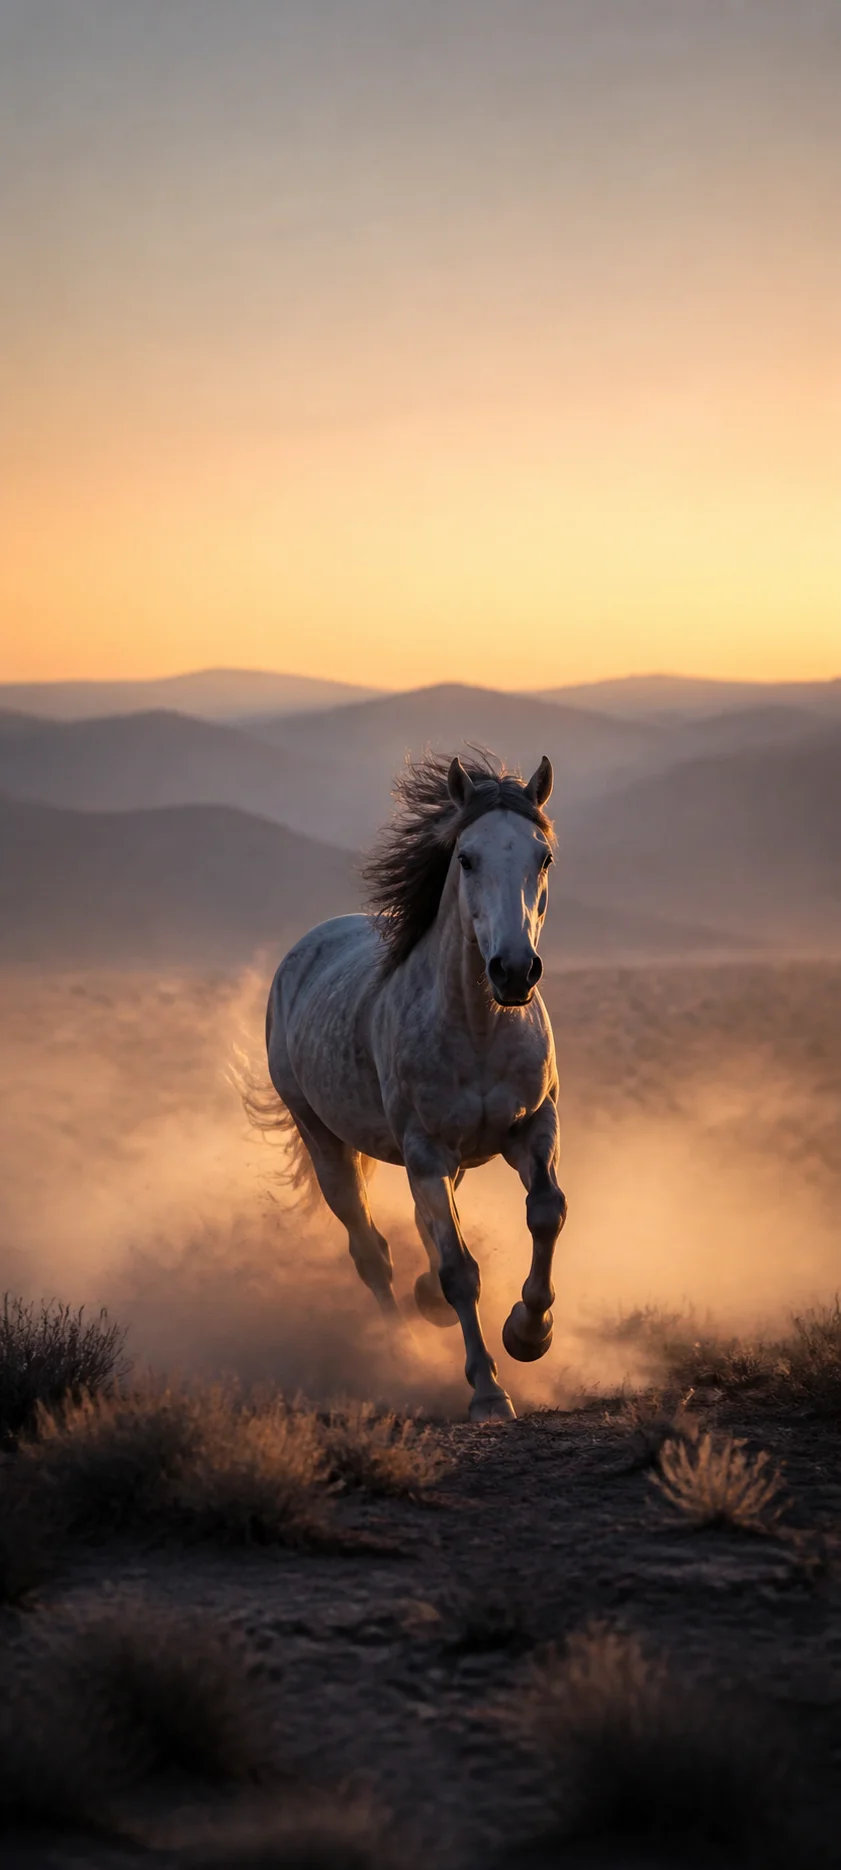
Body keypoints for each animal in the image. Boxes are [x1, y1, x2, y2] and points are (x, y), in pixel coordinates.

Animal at [256, 749, 567, 1423]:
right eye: (466, 857)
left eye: (543, 857)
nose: (512, 971)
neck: (479, 1027)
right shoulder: (425, 1151)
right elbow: (458, 1269)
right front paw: (488, 1389)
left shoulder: (534, 1127)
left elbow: (546, 1213)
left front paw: (529, 1334)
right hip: (324, 1141)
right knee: (371, 1252)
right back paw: (399, 1350)